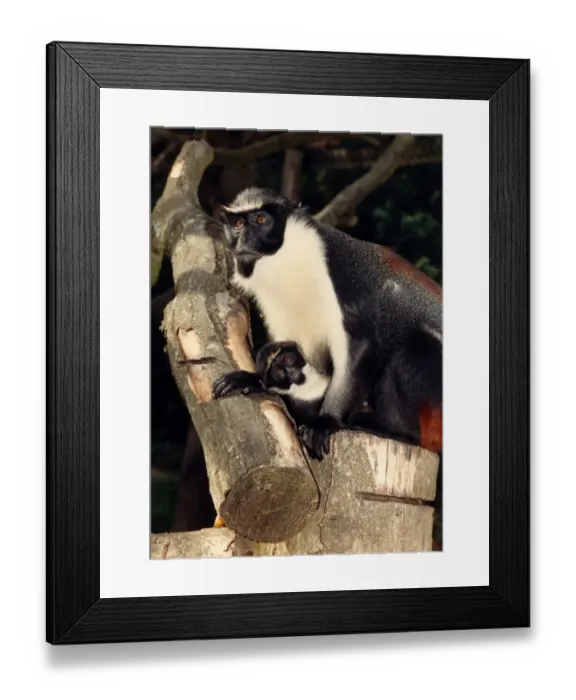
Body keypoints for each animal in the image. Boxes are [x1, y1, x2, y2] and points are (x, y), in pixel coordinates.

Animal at [214, 186, 443, 461]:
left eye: (261, 220)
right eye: (238, 224)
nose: (244, 241)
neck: (286, 260)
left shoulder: (343, 277)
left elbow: (358, 346)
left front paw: (326, 421)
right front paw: (254, 379)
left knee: (416, 346)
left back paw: (397, 432)